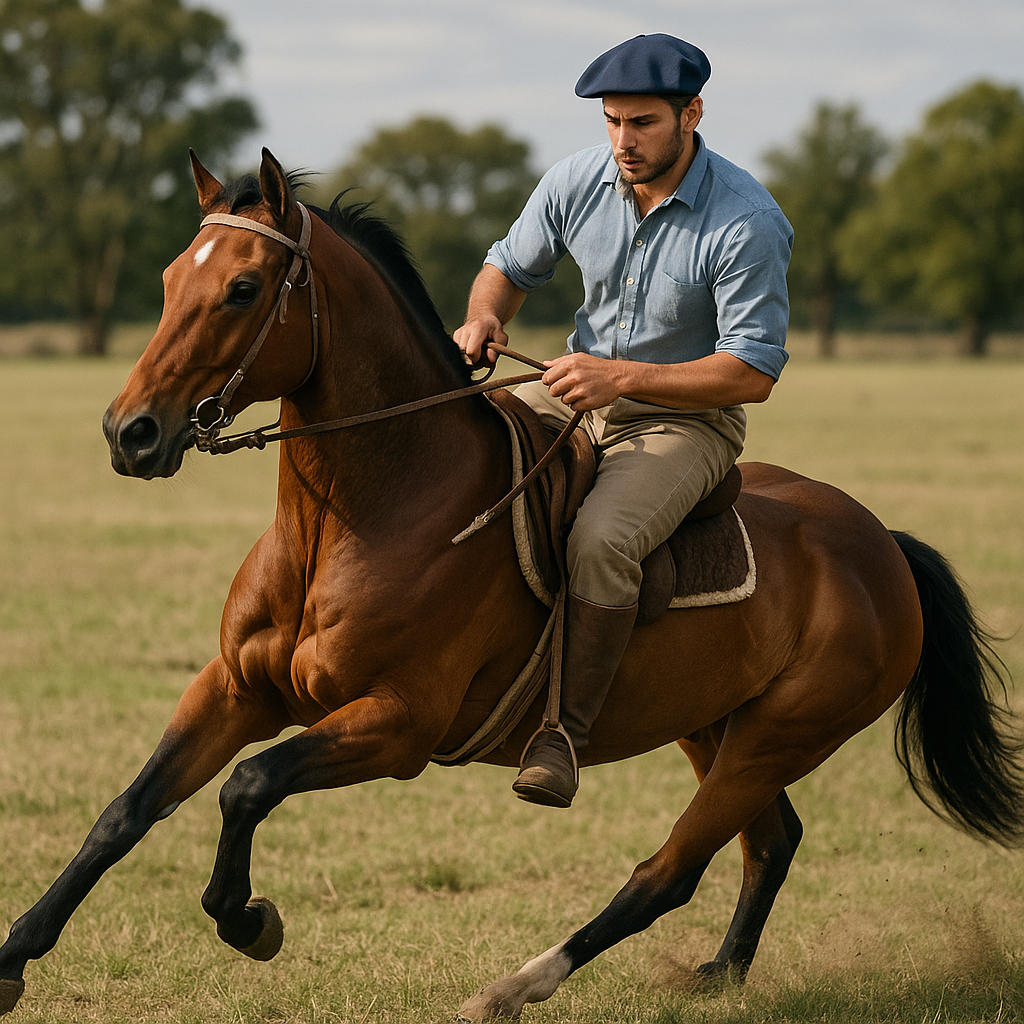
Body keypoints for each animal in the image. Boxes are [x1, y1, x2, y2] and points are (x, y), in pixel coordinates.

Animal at [1, 148, 1021, 1020]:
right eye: (171, 282)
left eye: (243, 289)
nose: (129, 432)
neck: (358, 519)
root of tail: (881, 544)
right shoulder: (234, 688)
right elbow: (125, 813)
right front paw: (14, 959)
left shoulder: (399, 725)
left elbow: (248, 786)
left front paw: (249, 919)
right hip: (716, 726)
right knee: (770, 844)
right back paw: (719, 977)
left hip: (780, 736)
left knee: (668, 872)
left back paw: (513, 986)